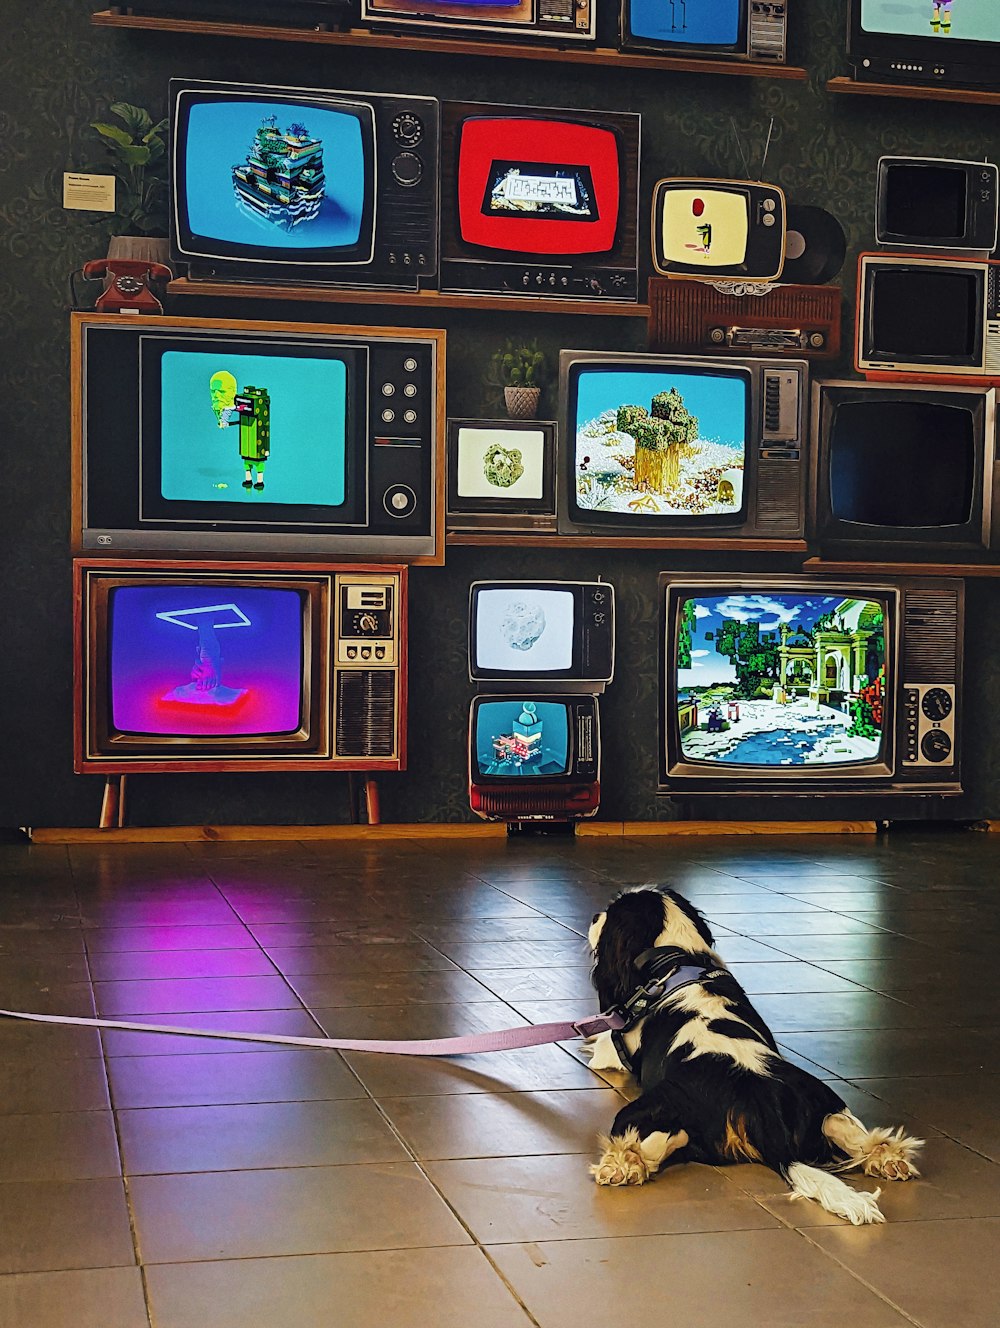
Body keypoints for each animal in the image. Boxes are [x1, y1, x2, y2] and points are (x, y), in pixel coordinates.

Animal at [584, 887, 918, 1227]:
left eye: (611, 911)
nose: (594, 916)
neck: (677, 958)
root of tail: (760, 1102)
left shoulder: (613, 1048)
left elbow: (597, 1042)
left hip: (648, 1107)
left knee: (664, 1139)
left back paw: (624, 1164)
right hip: (820, 1097)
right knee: (845, 1126)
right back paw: (887, 1159)